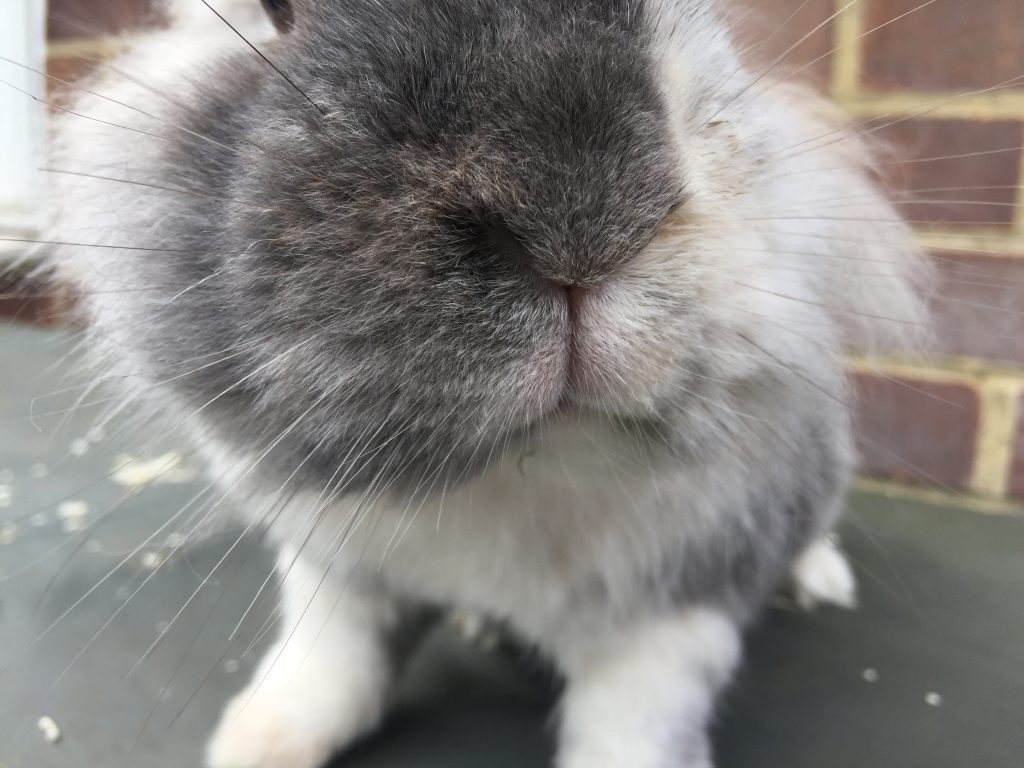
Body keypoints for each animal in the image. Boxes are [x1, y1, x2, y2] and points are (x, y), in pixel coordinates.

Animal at [46, 1, 930, 766]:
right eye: (274, 10)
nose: (577, 226)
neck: (527, 465)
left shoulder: (676, 619)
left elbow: (632, 729)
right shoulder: (332, 566)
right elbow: (329, 663)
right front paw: (255, 744)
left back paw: (822, 579)